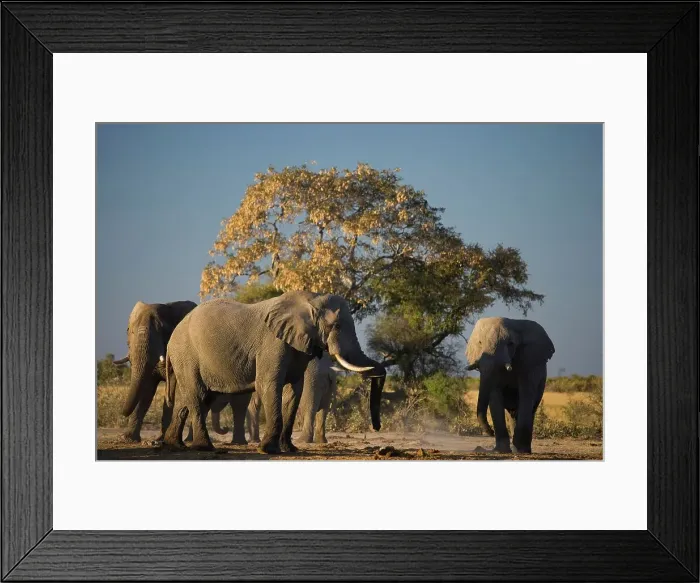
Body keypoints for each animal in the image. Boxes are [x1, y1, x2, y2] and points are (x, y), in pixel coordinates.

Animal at [115, 300, 250, 444]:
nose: (121, 413)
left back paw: (235, 442)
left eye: (162, 330)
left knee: (238, 405)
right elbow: (146, 391)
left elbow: (171, 390)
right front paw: (127, 438)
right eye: (129, 331)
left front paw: (161, 439)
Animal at [162, 290, 386, 454]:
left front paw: (291, 449)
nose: (376, 427)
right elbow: (269, 385)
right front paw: (267, 450)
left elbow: (294, 391)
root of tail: (172, 336)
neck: (310, 300)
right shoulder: (272, 343)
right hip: (186, 354)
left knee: (195, 398)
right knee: (198, 394)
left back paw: (174, 445)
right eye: (337, 325)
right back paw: (204, 447)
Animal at [465, 317, 555, 454]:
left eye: (510, 344)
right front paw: (501, 451)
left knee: (530, 409)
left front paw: (519, 451)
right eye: (480, 343)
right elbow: (495, 395)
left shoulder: (529, 362)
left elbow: (526, 394)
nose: (490, 432)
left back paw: (523, 450)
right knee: (512, 414)